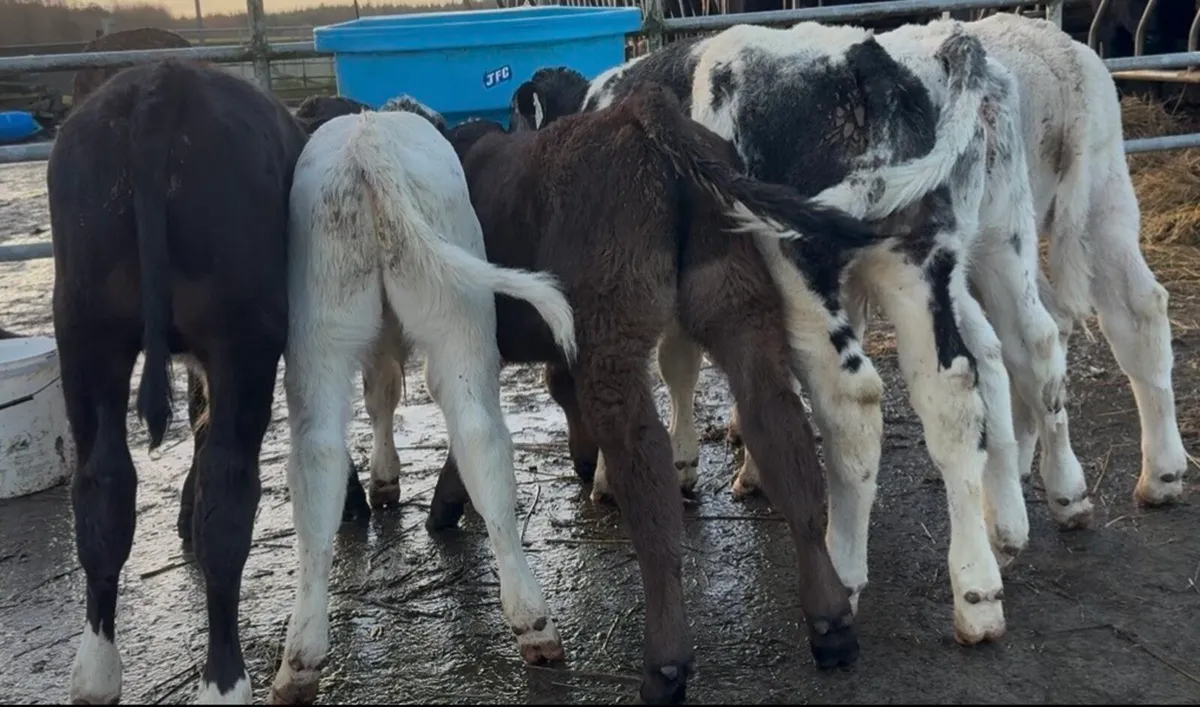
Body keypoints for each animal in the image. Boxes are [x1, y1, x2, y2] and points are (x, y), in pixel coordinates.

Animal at [49, 59, 307, 704]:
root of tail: (160, 84)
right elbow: (205, 421)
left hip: (85, 328)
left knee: (103, 487)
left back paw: (96, 671)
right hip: (243, 336)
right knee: (228, 495)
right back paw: (224, 679)